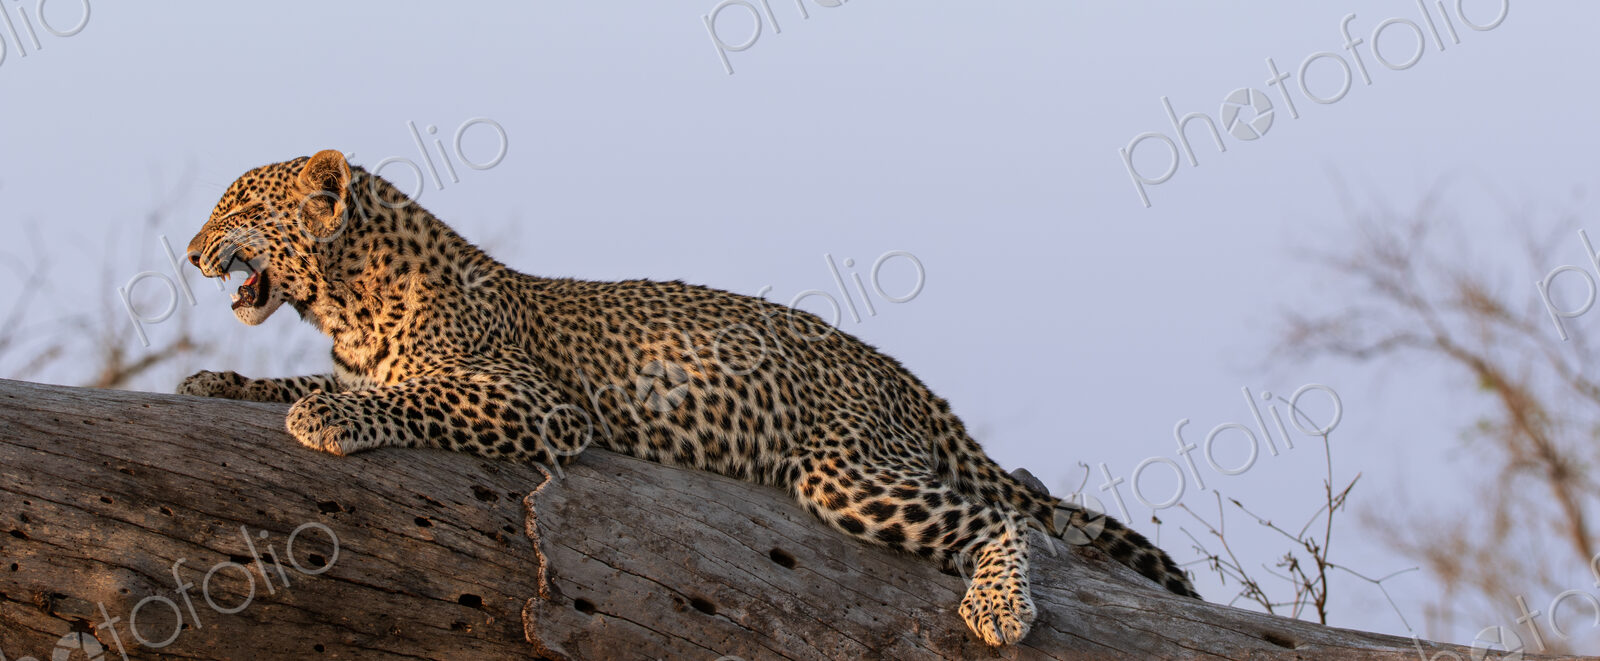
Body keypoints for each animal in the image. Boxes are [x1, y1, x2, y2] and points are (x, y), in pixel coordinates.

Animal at [176, 150, 1200, 647]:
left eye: (237, 208)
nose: (188, 252)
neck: (344, 303)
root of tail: (894, 368)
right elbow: (312, 379)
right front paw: (214, 381)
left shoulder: (539, 404)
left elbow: (417, 400)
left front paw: (328, 419)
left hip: (845, 469)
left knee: (1012, 520)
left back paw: (999, 606)